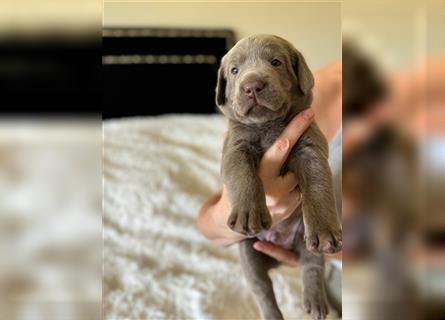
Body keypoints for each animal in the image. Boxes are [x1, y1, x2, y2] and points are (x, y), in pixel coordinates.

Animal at [217, 33, 342, 318]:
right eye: (234, 70)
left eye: (276, 62)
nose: (252, 86)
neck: (268, 127)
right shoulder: (234, 149)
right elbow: (243, 175)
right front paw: (249, 214)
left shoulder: (310, 145)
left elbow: (317, 183)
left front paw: (325, 228)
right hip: (248, 250)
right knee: (262, 287)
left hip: (304, 240)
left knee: (312, 265)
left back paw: (316, 303)